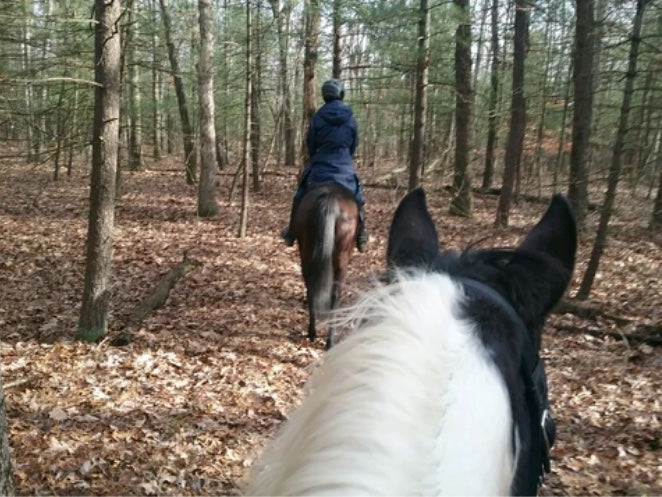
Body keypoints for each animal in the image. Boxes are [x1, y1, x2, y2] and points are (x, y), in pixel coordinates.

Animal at [294, 182, 358, 348]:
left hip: (308, 255)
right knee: (334, 294)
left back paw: (315, 334)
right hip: (341, 260)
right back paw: (327, 340)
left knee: (313, 289)